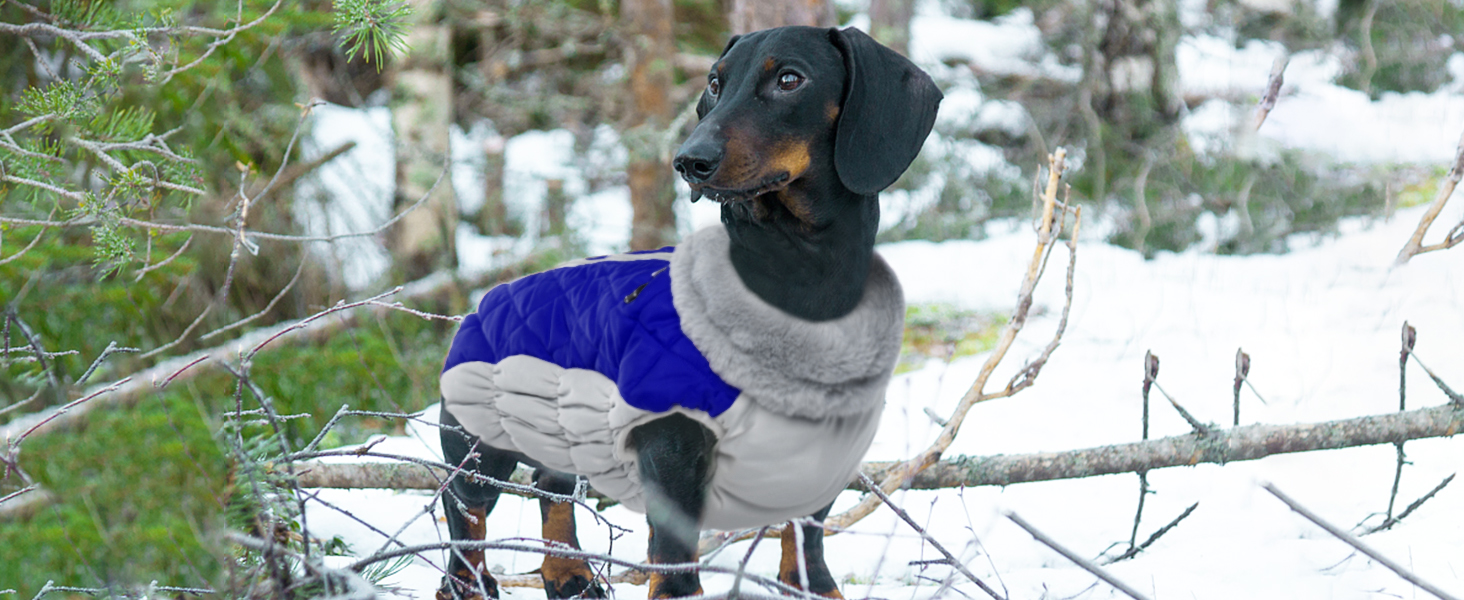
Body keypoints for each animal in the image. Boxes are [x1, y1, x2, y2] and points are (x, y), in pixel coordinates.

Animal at [430, 25, 936, 600]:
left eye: (790, 79)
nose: (689, 160)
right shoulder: (672, 445)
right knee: (465, 508)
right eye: (715, 82)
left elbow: (805, 530)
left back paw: (568, 574)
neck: (798, 286)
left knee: (550, 483)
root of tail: (489, 296)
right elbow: (673, 554)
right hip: (479, 443)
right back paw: (468, 583)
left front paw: (813, 585)